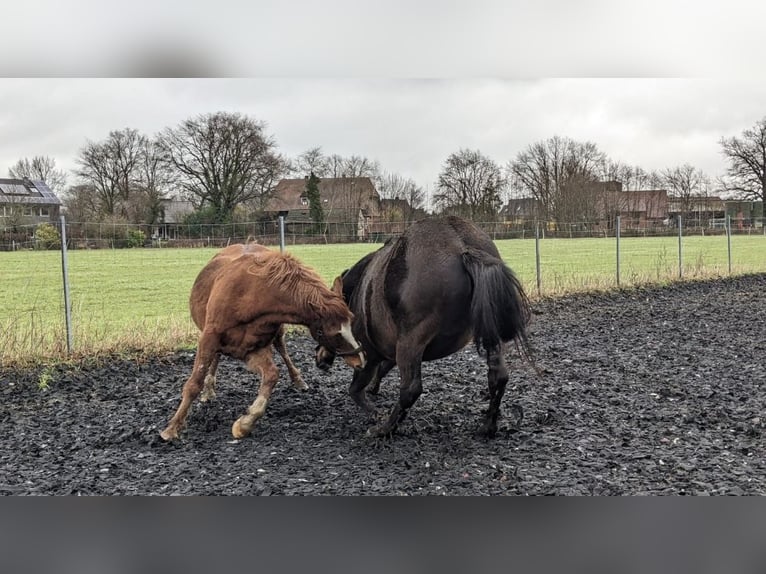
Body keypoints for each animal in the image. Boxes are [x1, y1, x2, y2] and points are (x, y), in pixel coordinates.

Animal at [160, 242, 368, 440]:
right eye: (327, 331)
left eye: (351, 320)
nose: (360, 361)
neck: (249, 298)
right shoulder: (209, 338)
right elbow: (194, 383)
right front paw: (172, 428)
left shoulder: (252, 350)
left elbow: (272, 375)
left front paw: (245, 424)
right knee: (215, 359)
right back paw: (209, 389)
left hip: (277, 336)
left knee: (282, 350)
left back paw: (298, 380)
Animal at [316, 218, 532, 438]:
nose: (319, 359)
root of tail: (462, 247)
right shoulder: (389, 349)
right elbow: (381, 371)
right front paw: (374, 390)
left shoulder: (370, 353)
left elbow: (355, 389)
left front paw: (375, 413)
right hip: (489, 333)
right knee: (498, 377)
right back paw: (488, 426)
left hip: (411, 341)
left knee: (410, 389)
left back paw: (385, 428)